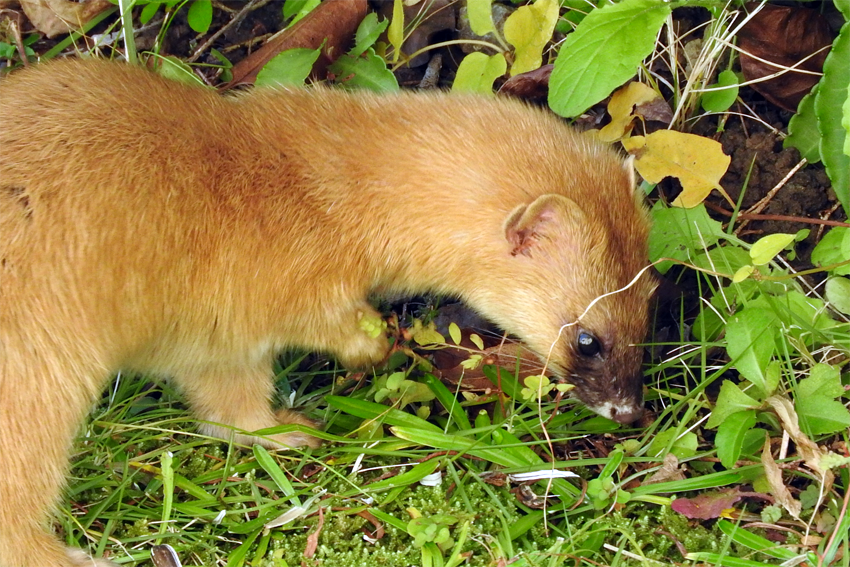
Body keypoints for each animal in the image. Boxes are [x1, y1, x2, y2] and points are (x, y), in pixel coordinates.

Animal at [0, 57, 652, 564]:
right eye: (588, 338)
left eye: (652, 301)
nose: (630, 411)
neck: (312, 186)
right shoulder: (270, 295)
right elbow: (309, 335)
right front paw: (370, 351)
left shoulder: (210, 334)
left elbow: (226, 410)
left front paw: (288, 433)